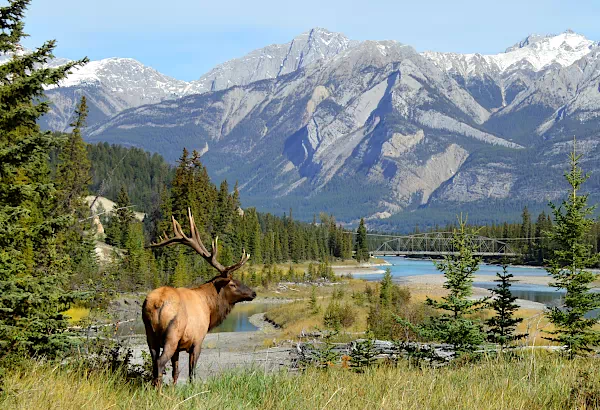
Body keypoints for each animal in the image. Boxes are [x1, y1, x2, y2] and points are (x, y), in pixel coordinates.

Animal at [143, 210, 255, 386]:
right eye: (233, 284)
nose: (253, 293)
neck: (210, 307)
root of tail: (157, 303)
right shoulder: (197, 340)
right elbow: (191, 372)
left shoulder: (179, 347)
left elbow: (176, 372)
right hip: (172, 333)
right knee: (160, 362)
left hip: (150, 333)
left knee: (154, 363)